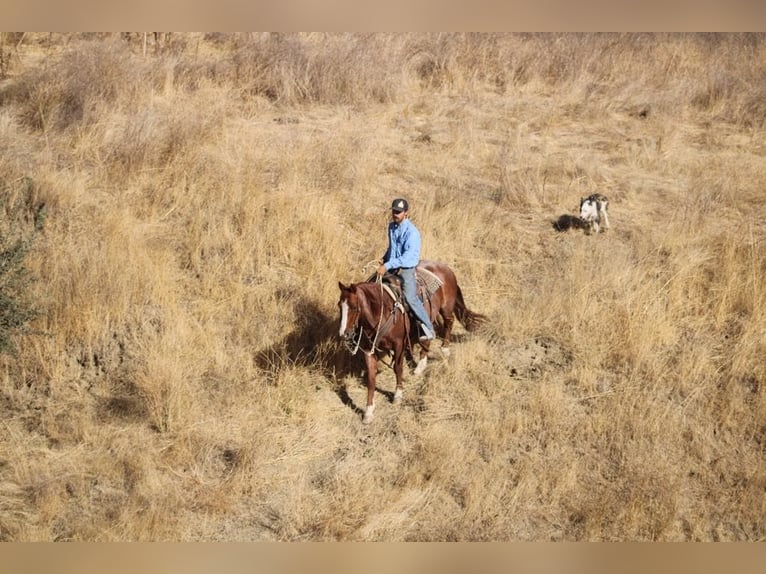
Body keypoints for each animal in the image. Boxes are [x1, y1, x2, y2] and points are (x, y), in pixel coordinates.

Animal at [338, 260, 484, 424]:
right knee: (427, 336)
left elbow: (398, 368)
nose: (344, 334)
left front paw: (397, 395)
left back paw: (444, 349)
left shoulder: (399, 344)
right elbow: (371, 378)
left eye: (354, 307)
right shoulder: (369, 350)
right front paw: (368, 412)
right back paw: (420, 366)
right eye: (339, 306)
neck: (382, 311)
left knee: (449, 322)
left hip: (446, 308)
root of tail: (445, 267)